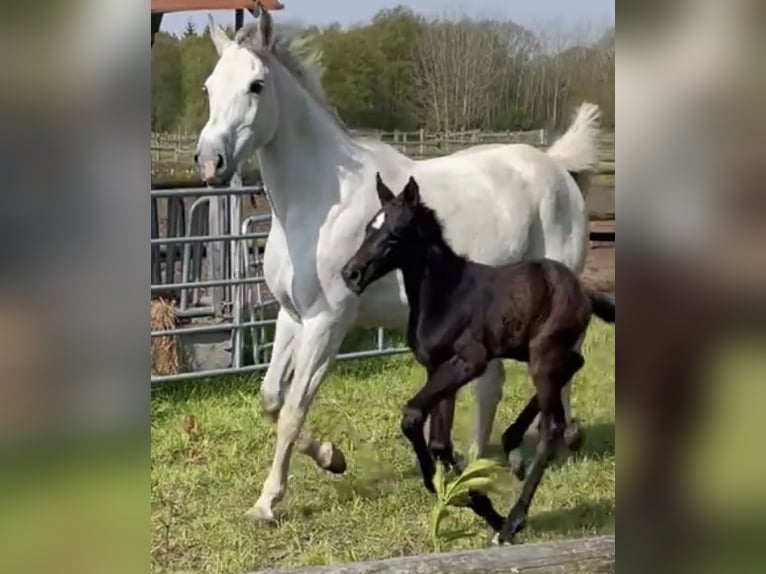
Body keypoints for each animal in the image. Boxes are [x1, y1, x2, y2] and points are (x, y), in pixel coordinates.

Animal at [342, 174, 616, 544]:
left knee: (552, 427)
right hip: (531, 349)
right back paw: (513, 446)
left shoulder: (470, 361)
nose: (351, 274)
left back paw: (514, 521)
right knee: (575, 364)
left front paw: (452, 491)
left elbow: (412, 416)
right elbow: (439, 442)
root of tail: (583, 289)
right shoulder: (436, 367)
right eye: (369, 228)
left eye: (395, 233)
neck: (446, 294)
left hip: (541, 355)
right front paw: (477, 504)